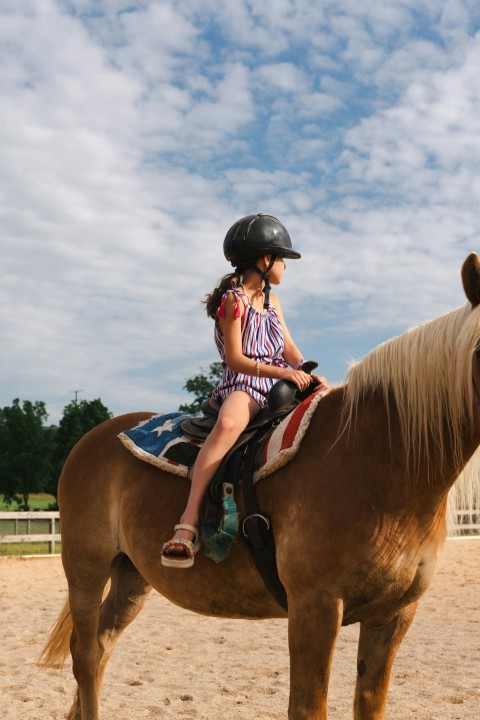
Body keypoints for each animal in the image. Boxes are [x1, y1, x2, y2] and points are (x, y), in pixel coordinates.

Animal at [40, 253, 480, 720]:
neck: (377, 457)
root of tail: (92, 437)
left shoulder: (394, 614)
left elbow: (369, 704)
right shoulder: (315, 607)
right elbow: (307, 706)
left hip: (131, 574)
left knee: (102, 644)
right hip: (86, 566)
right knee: (85, 653)